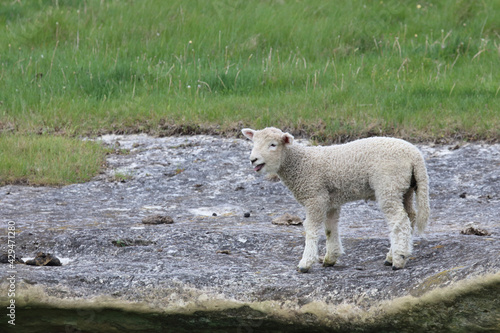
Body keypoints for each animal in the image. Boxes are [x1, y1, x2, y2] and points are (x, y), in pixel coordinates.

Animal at [242, 126, 430, 272]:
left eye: (273, 145)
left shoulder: (315, 197)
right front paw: (330, 258)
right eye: (254, 143)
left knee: (400, 220)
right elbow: (330, 228)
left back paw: (399, 259)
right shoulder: (330, 200)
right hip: (405, 188)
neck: (300, 163)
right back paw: (393, 255)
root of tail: (415, 155)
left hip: (388, 184)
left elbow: (311, 229)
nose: (253, 160)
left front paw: (305, 263)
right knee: (410, 216)